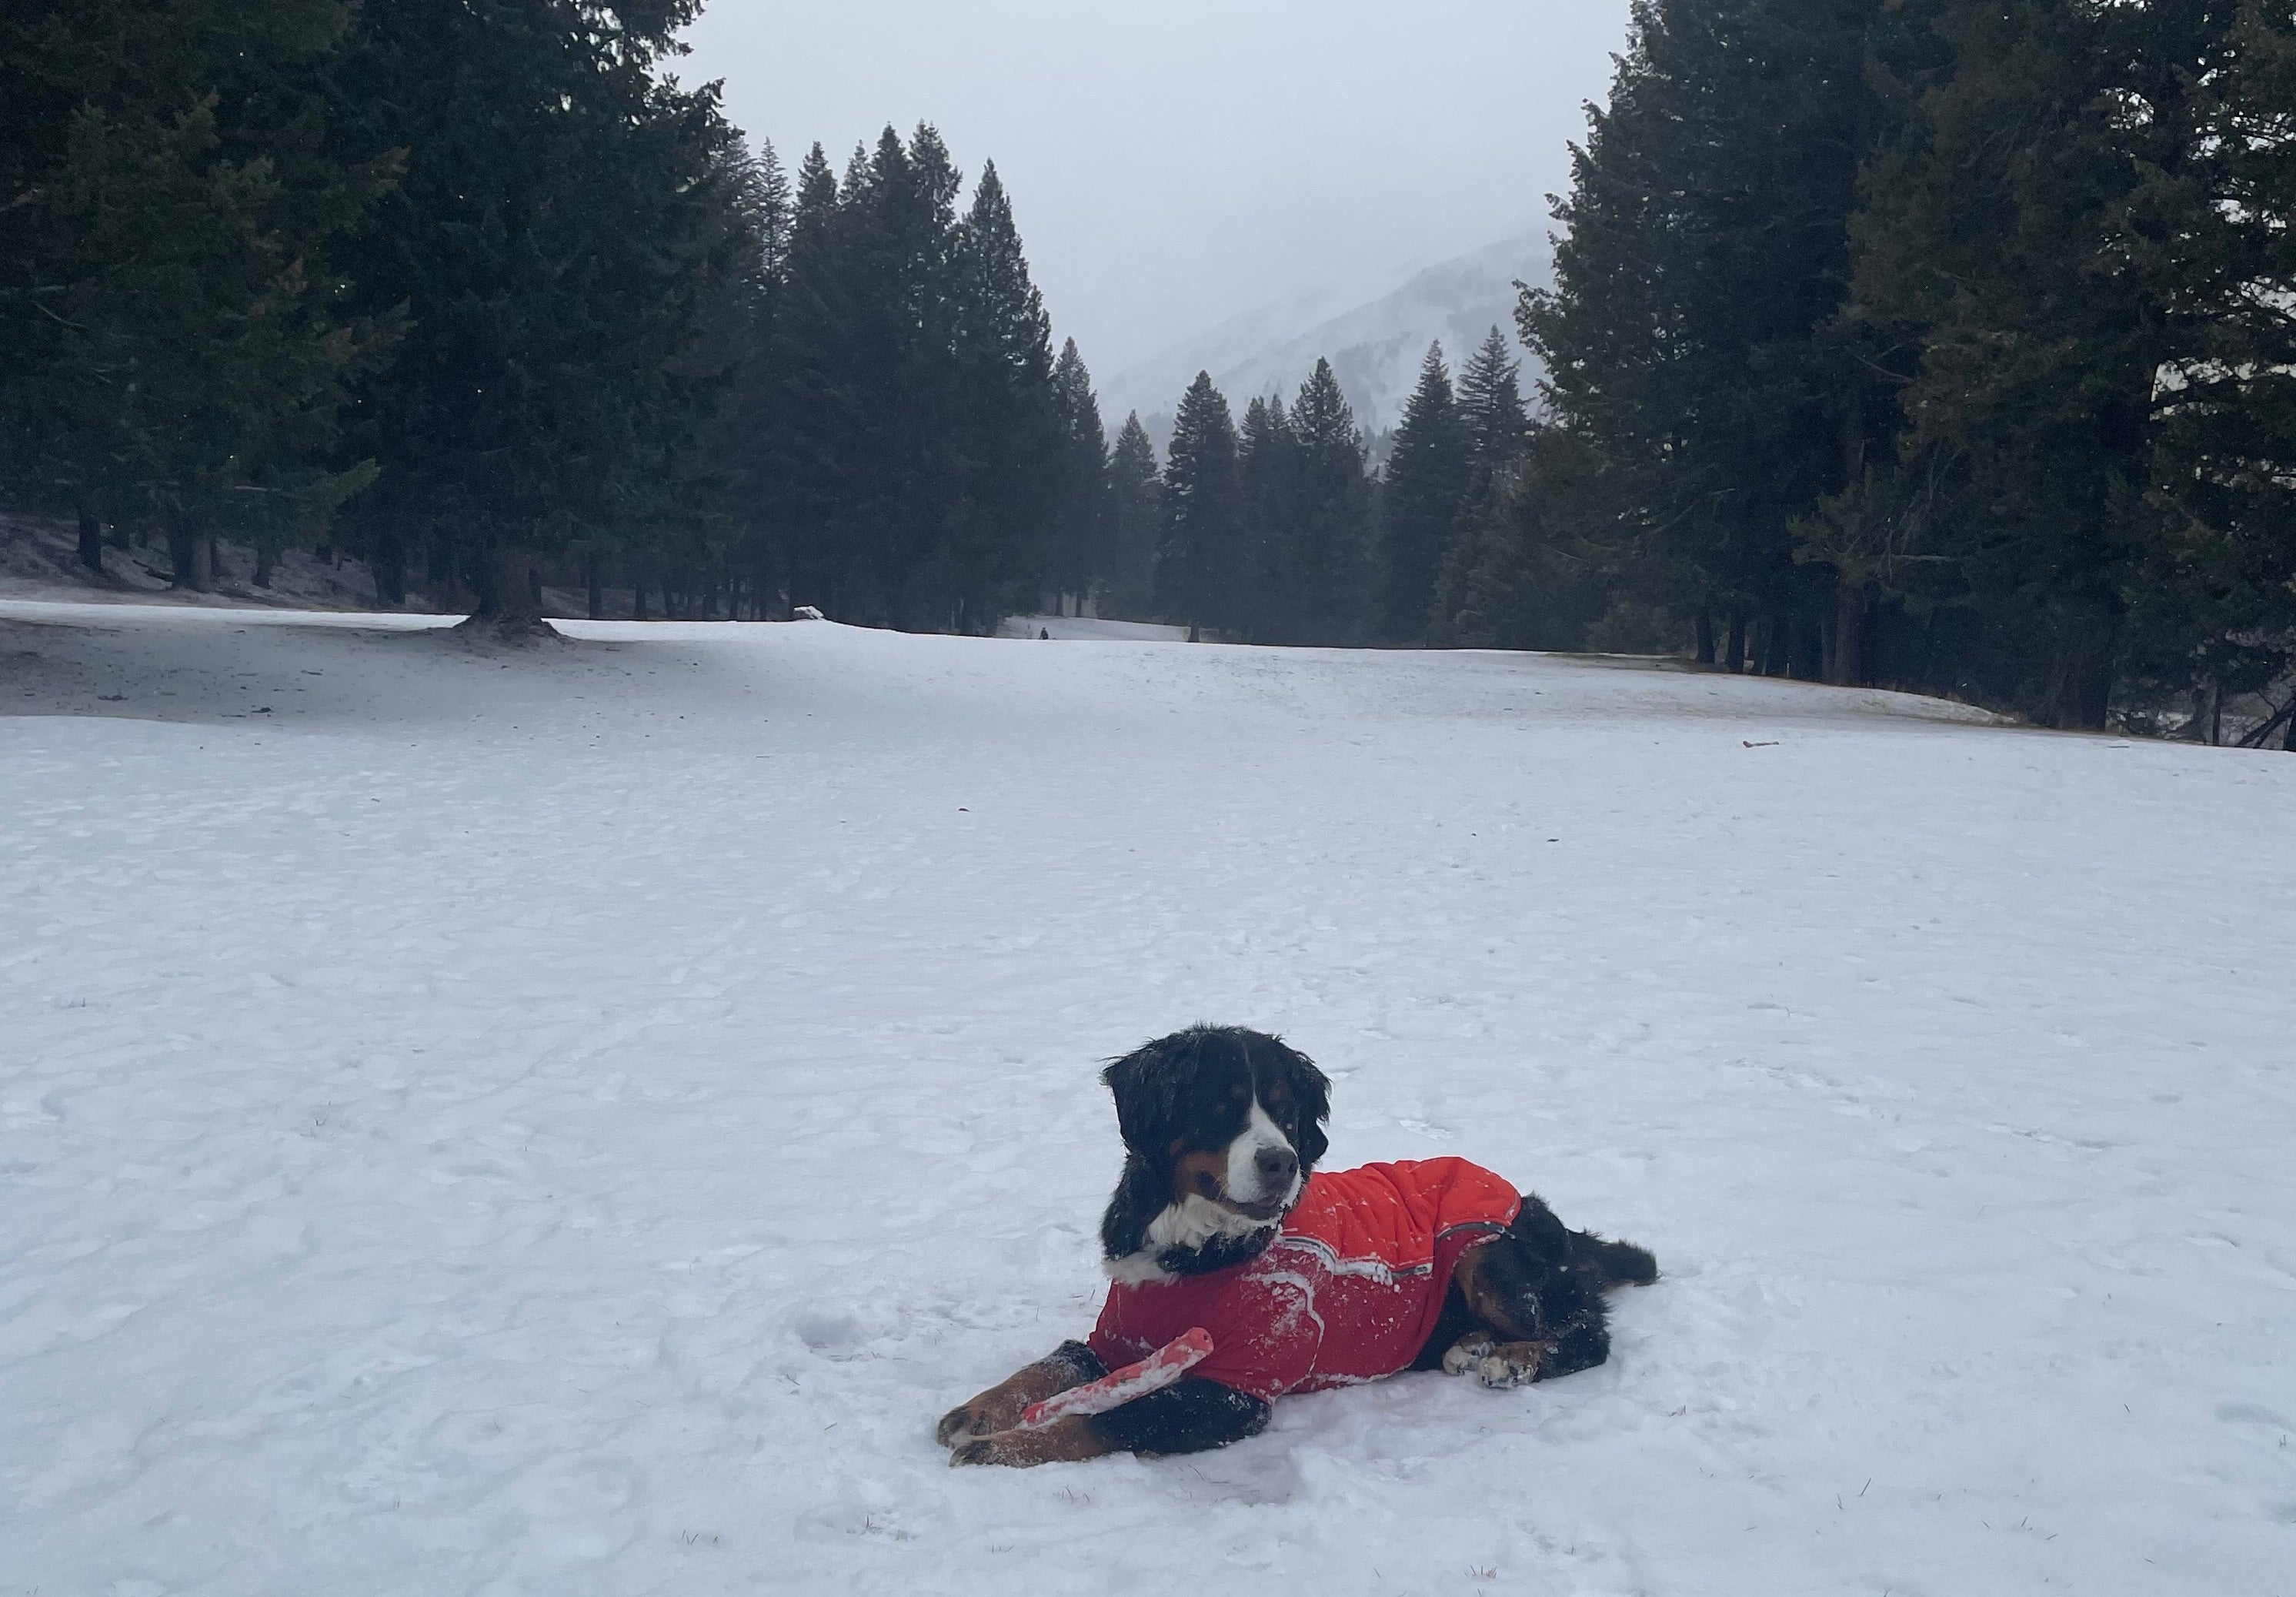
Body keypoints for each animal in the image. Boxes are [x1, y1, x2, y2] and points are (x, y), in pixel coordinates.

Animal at [932, 1029, 1653, 1470]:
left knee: (1588, 1332)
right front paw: (977, 1409)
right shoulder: (1120, 1336)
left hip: (1486, 1248)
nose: (1280, 1161)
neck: (1195, 1248)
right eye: (1218, 1107)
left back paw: (1511, 1357)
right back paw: (1471, 1344)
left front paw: (1002, 1445)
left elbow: (1114, 1417)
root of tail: (1550, 1218)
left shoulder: (1232, 1389)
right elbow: (1048, 1365)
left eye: (1285, 1111)